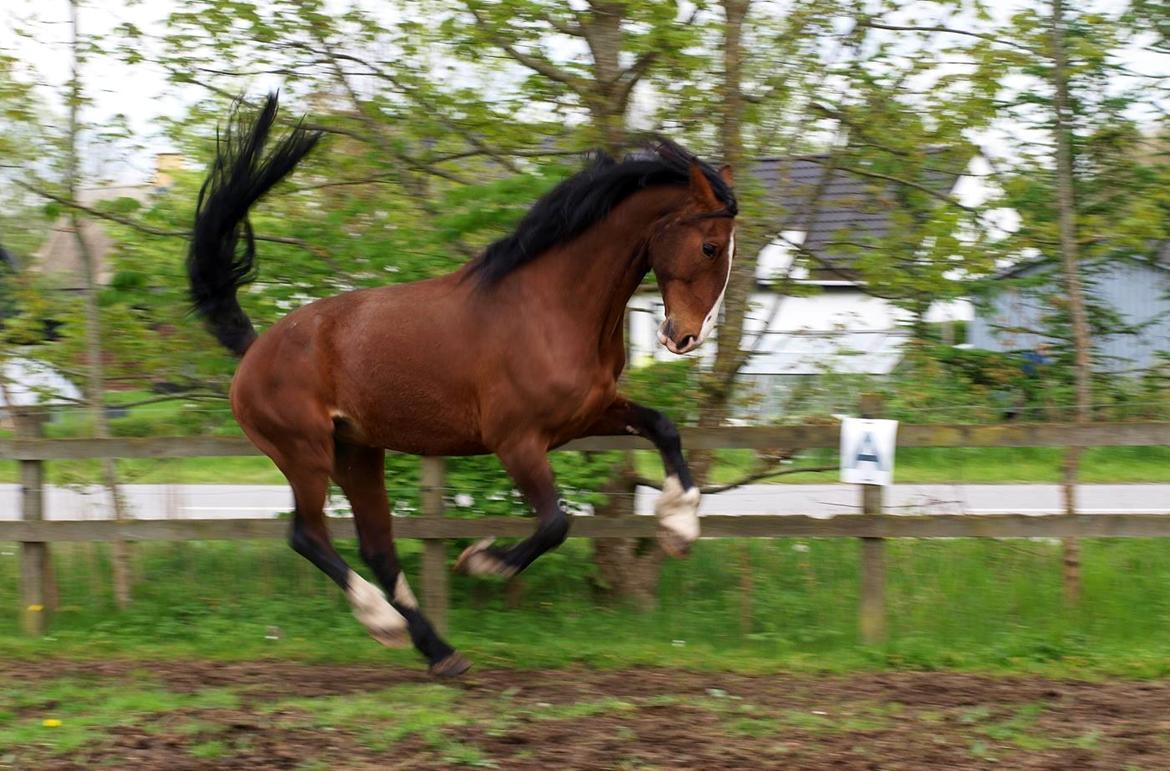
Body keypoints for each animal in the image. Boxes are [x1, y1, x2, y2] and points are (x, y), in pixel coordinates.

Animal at [187, 94, 734, 673]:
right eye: (709, 247)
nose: (684, 336)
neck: (550, 306)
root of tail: (255, 348)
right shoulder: (516, 440)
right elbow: (554, 524)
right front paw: (481, 562)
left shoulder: (590, 413)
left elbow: (664, 427)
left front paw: (679, 528)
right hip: (303, 452)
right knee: (307, 535)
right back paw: (383, 622)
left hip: (357, 453)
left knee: (376, 546)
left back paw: (439, 651)